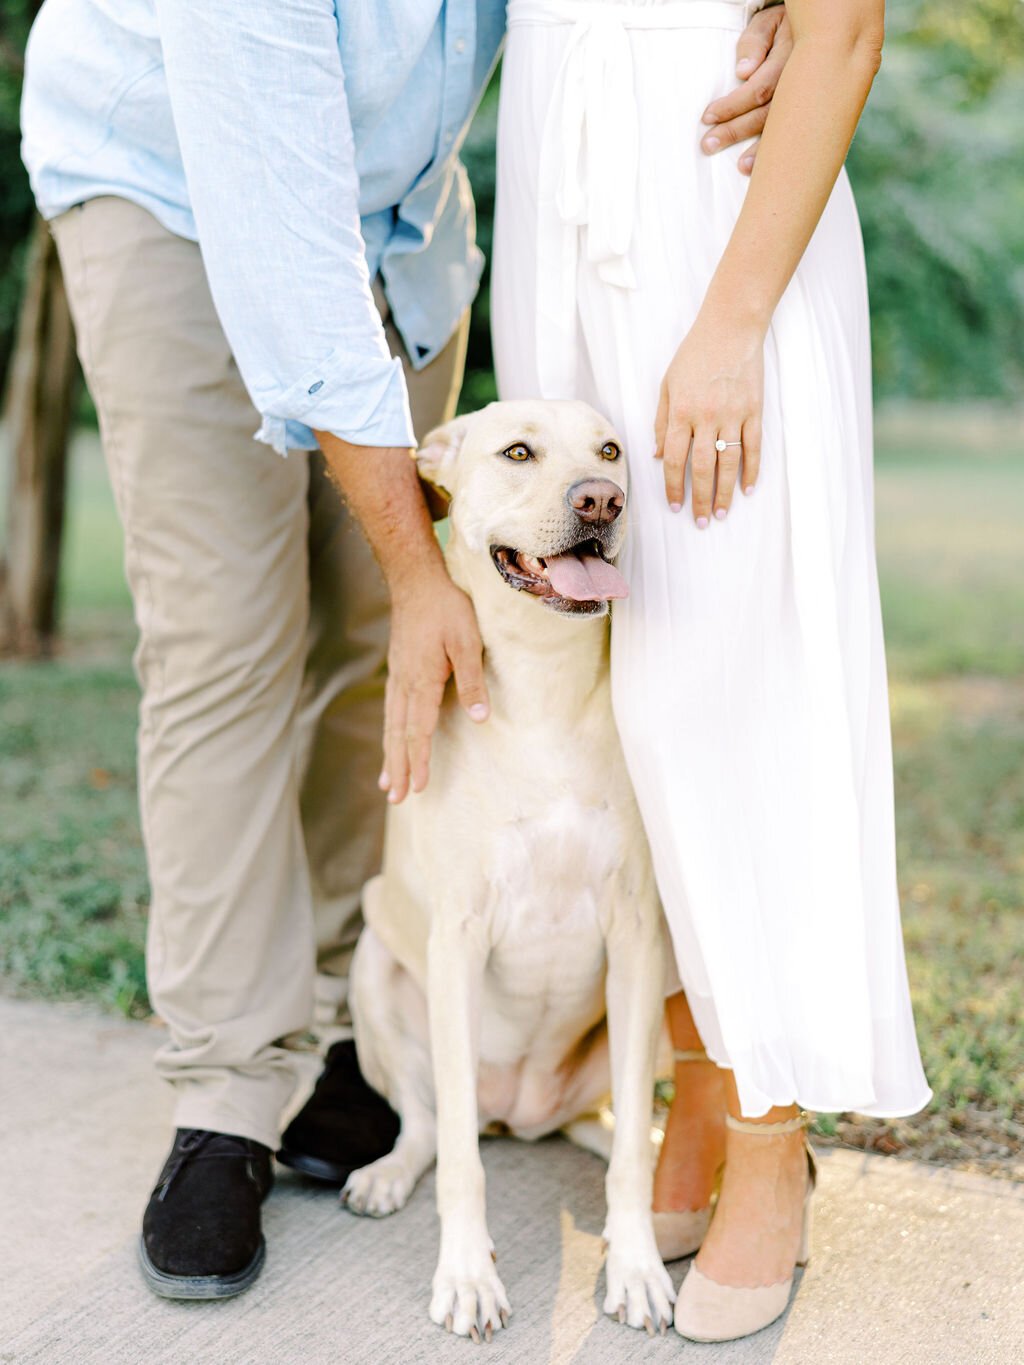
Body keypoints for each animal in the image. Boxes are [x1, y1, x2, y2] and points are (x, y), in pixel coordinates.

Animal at [349, 401, 677, 1343]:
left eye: (610, 450)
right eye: (518, 451)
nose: (601, 498)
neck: (544, 687)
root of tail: (520, 1114)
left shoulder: (637, 931)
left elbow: (628, 1152)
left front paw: (636, 1264)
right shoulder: (456, 942)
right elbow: (460, 1157)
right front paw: (467, 1276)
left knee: (606, 1121)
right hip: (375, 968)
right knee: (429, 1121)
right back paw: (388, 1171)